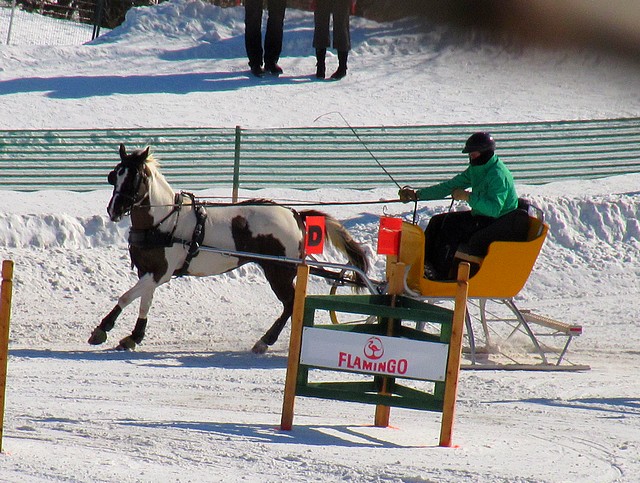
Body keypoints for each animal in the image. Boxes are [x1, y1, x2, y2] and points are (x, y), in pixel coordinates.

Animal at [90, 146, 370, 354]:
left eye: (134, 177)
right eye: (115, 175)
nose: (113, 210)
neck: (165, 221)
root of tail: (294, 214)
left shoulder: (160, 273)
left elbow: (126, 297)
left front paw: (103, 328)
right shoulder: (149, 271)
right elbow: (143, 301)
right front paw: (134, 336)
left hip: (278, 271)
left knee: (290, 304)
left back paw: (265, 341)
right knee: (291, 304)